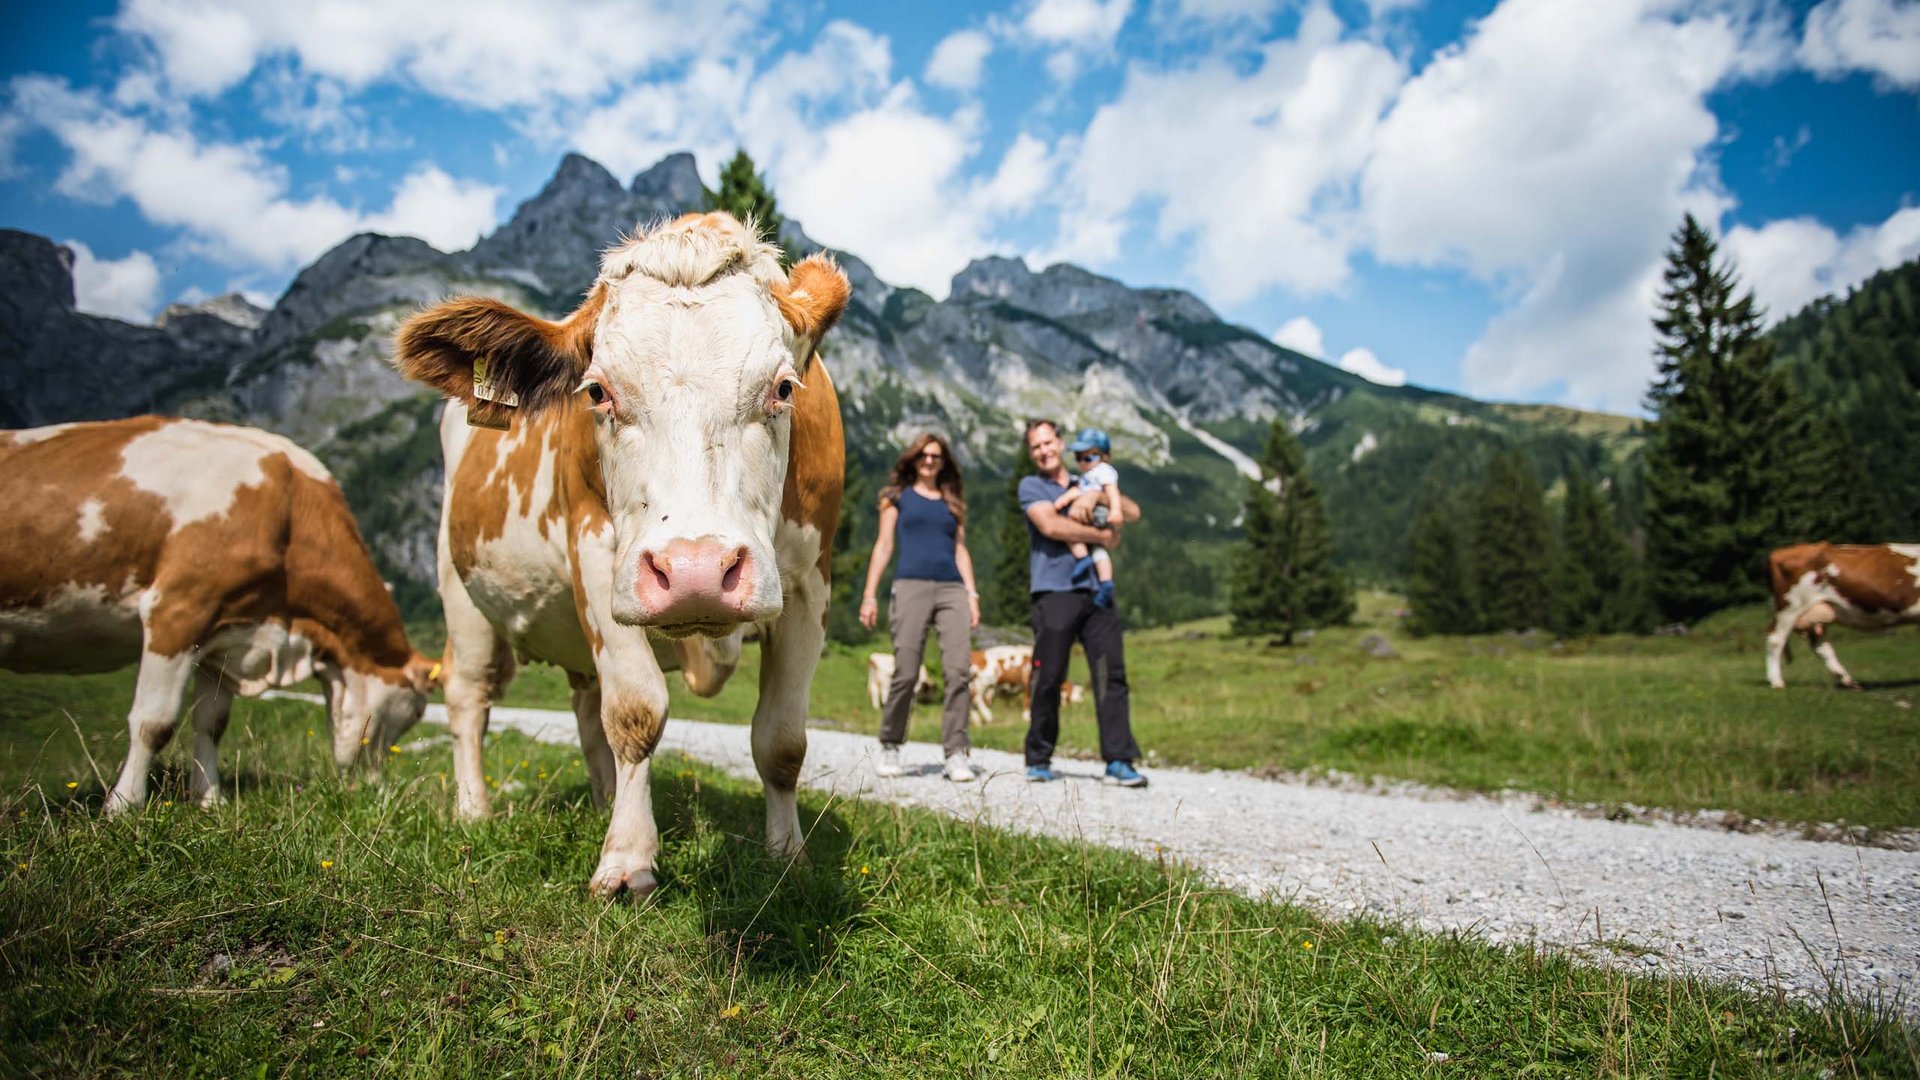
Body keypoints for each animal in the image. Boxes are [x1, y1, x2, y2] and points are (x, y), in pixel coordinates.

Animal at [0, 417, 435, 810]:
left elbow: (211, 724)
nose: (373, 786)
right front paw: (123, 806)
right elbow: (154, 722)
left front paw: (210, 801)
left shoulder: (224, 634)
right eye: (415, 711)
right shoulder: (178, 608)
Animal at [395, 208, 848, 891]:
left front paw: (788, 858)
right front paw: (628, 860)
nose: (694, 572)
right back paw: (475, 810)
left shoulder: (807, 585)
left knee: (586, 708)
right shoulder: (597, 556)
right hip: (461, 591)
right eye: (596, 392)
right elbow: (636, 713)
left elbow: (782, 740)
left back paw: (607, 799)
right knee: (469, 697)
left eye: (785, 388)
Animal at [1766, 541, 1920, 684]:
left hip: (1815, 612)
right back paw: (1777, 681)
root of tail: (1780, 552)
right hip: (1790, 607)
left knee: (1820, 644)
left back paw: (1843, 678)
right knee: (1775, 639)